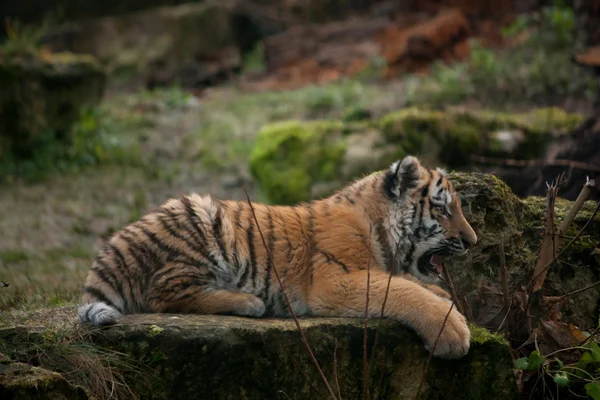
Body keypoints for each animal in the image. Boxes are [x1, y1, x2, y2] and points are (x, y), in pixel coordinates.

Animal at [77, 155, 476, 360]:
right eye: (443, 210)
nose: (472, 241)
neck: (378, 227)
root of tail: (113, 246)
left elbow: (410, 283)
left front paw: (444, 297)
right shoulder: (336, 281)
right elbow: (400, 290)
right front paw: (452, 331)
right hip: (200, 221)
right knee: (161, 294)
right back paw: (248, 302)